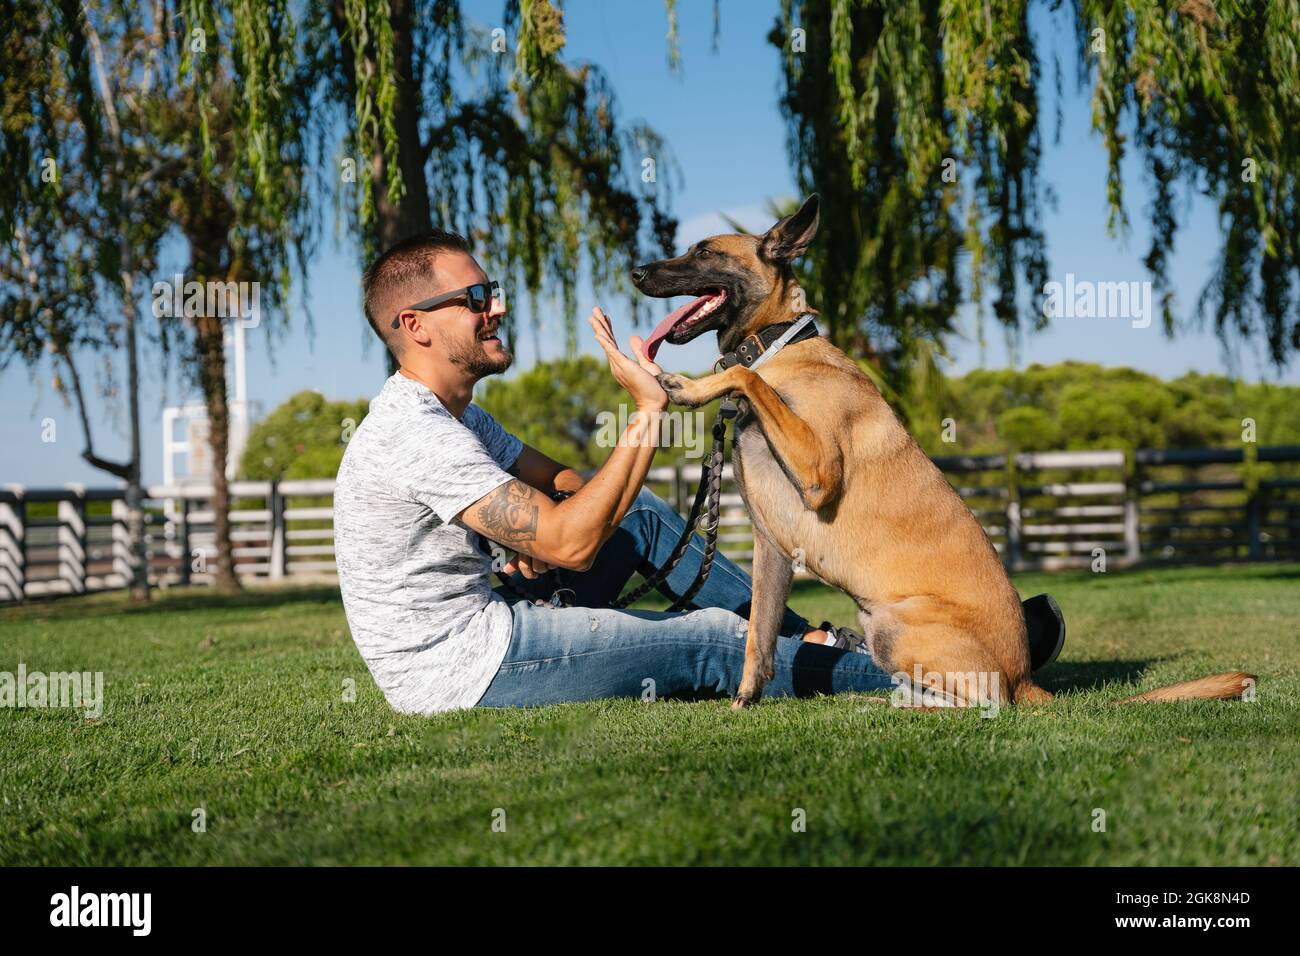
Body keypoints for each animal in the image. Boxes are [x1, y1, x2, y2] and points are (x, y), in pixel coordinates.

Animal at [634, 197, 1253, 712]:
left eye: (703, 250)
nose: (636, 272)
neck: (780, 345)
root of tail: (1024, 676)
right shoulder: (771, 548)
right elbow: (758, 640)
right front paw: (744, 700)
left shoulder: (818, 470)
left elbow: (744, 374)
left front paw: (689, 386)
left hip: (896, 623)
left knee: (987, 703)